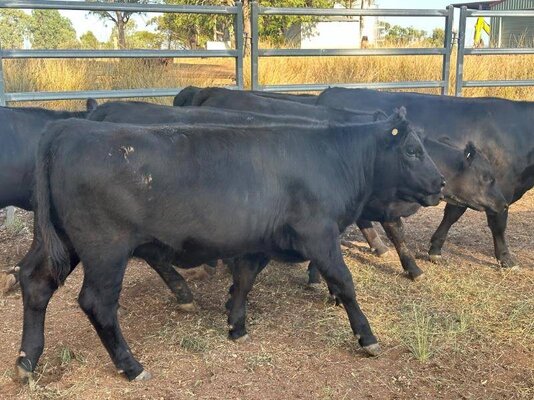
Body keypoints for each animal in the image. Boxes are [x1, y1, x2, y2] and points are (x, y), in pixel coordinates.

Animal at [17, 108, 444, 382]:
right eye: (412, 150)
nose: (440, 183)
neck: (332, 158)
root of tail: (69, 128)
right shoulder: (319, 233)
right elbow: (344, 283)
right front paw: (367, 337)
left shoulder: (258, 239)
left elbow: (244, 278)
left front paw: (235, 324)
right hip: (106, 250)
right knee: (98, 304)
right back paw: (131, 366)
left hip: (63, 242)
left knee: (34, 282)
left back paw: (26, 361)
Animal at [316, 88, 532, 268]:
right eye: (488, 178)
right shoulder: (502, 189)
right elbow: (498, 223)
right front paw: (506, 258)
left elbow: (452, 214)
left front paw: (435, 249)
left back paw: (379, 247)